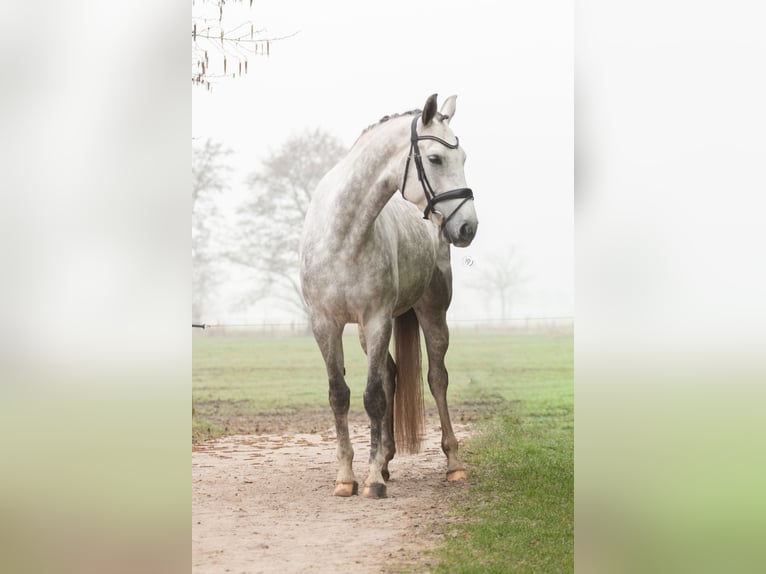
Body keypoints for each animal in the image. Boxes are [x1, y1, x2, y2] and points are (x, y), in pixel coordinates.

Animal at [300, 94, 478, 498]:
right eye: (435, 159)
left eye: (463, 159)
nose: (467, 227)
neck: (344, 235)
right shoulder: (325, 325)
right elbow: (341, 394)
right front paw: (347, 477)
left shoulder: (377, 318)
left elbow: (373, 397)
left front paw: (373, 482)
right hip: (368, 333)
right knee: (390, 375)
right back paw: (384, 457)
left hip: (431, 314)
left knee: (436, 379)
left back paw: (452, 464)